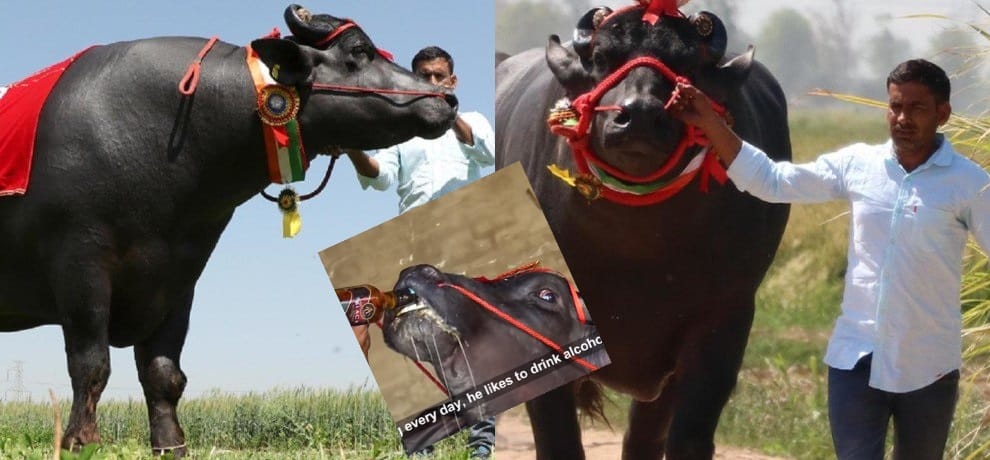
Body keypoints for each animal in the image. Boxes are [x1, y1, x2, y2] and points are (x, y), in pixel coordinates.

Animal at [0, 4, 456, 456]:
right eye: (358, 51)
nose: (447, 99)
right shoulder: (80, 262)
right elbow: (91, 365)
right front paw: (81, 441)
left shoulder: (179, 276)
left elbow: (163, 374)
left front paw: (171, 444)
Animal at [495, 3, 791, 459]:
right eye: (602, 57)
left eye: (687, 64)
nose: (640, 116)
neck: (636, 249)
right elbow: (558, 439)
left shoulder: (726, 319)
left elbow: (689, 436)